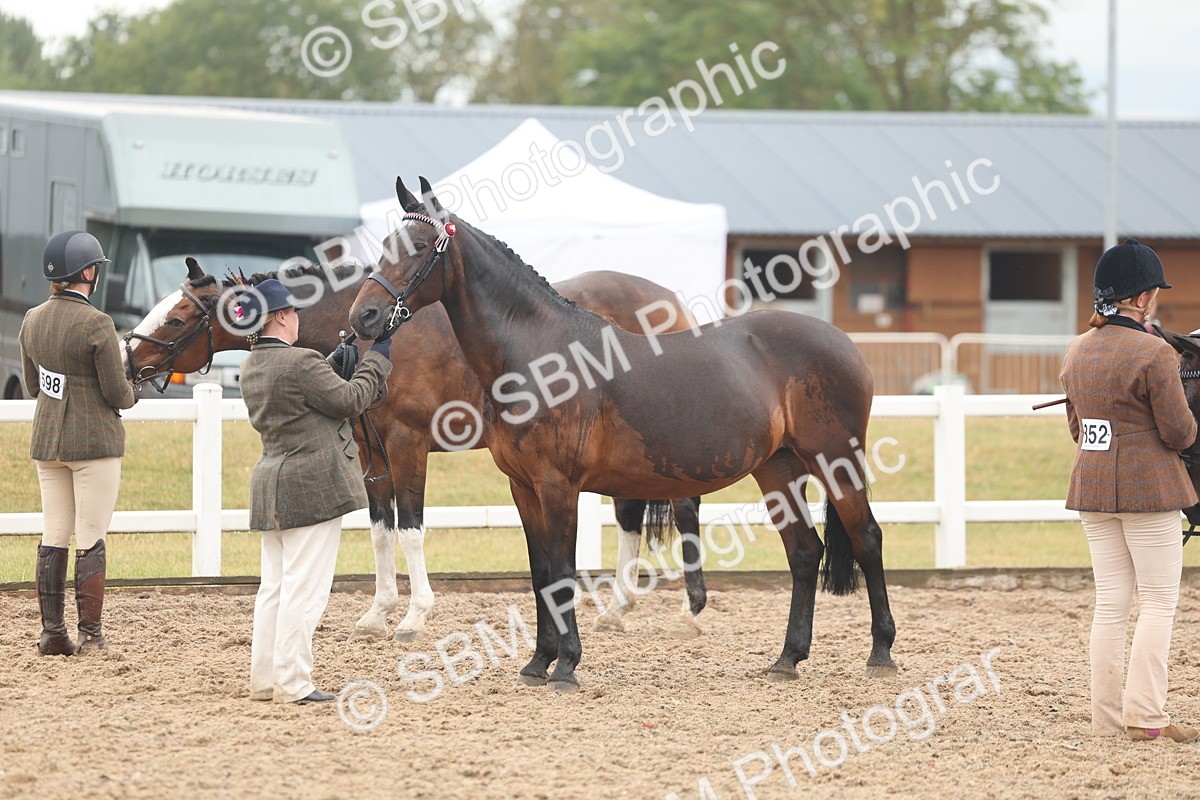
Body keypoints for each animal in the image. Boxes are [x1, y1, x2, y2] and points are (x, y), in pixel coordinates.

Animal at [122, 257, 708, 640]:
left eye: (176, 318)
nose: (128, 362)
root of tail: (674, 302)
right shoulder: (371, 452)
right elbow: (381, 531)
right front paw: (377, 612)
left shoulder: (408, 446)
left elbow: (410, 529)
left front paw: (414, 615)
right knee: (632, 513)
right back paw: (617, 609)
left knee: (681, 505)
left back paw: (688, 611)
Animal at [348, 177, 896, 692]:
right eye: (385, 243)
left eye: (420, 245)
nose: (363, 316)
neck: (539, 354)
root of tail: (845, 343)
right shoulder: (523, 487)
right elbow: (540, 572)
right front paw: (538, 662)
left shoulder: (558, 486)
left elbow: (562, 572)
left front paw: (566, 666)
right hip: (778, 468)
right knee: (804, 553)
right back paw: (787, 659)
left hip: (835, 462)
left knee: (867, 539)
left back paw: (881, 653)